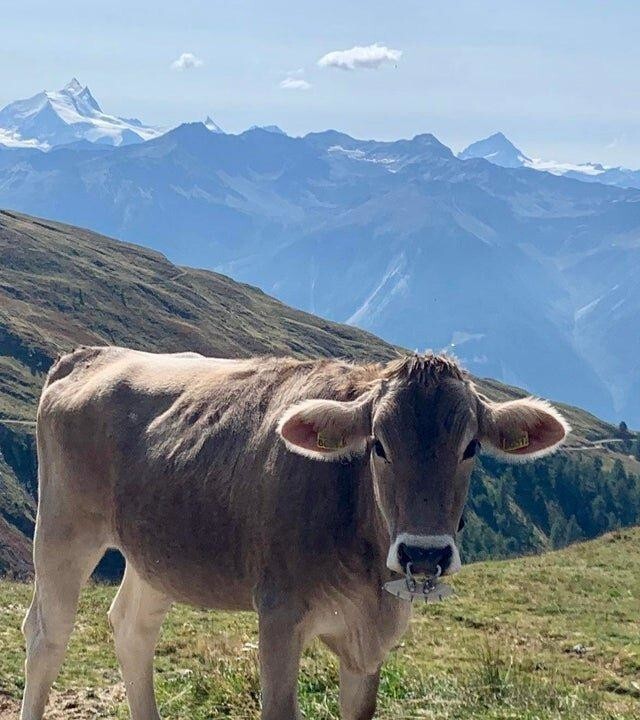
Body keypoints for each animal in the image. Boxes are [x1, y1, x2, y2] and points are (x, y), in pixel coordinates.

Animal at [21, 346, 568, 716]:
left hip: (156, 552)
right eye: (379, 445)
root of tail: (90, 354)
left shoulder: (369, 647)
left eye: (470, 447)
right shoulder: (279, 614)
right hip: (65, 528)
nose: (424, 554)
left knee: (132, 627)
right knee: (46, 634)